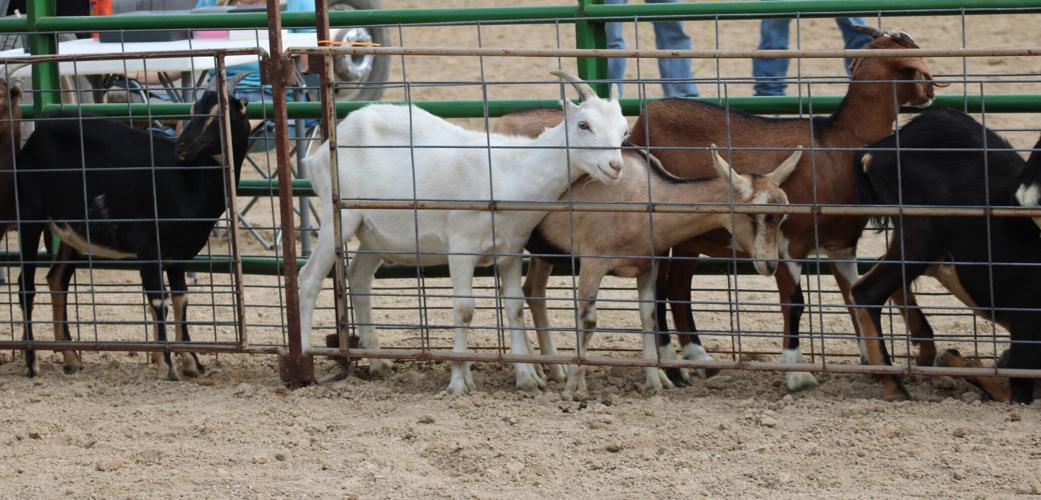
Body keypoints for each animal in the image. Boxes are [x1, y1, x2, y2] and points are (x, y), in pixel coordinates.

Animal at [11, 72, 251, 379]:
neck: (189, 180)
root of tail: (36, 135)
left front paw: (191, 361)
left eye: (221, 112)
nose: (182, 146)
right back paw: (32, 362)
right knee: (25, 285)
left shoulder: (178, 254)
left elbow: (181, 299)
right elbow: (159, 299)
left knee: (57, 279)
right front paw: (167, 365)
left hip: (69, 231)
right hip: (30, 216)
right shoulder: (147, 245)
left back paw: (71, 357)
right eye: (194, 109)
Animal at [297, 71, 628, 395]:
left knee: (359, 278)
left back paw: (379, 363)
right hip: (338, 217)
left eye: (623, 130)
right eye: (584, 124)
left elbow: (515, 306)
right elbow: (464, 309)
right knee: (309, 277)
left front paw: (527, 379)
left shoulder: (510, 249)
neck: (512, 171)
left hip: (374, 233)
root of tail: (319, 154)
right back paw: (305, 359)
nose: (615, 166)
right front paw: (459, 381)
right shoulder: (461, 246)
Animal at [625, 27, 946, 390]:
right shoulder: (789, 242)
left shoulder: (842, 244)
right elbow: (794, 302)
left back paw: (696, 361)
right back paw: (676, 365)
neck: (834, 146)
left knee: (675, 289)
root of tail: (640, 124)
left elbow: (852, 296)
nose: (930, 91)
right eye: (914, 64)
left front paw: (872, 361)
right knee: (663, 292)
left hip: (687, 240)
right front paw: (797, 372)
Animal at [852, 109, 1041, 404]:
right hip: (922, 233)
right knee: (868, 290)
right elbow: (1015, 393)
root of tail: (880, 151)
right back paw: (895, 386)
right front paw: (960, 361)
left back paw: (924, 353)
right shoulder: (1028, 318)